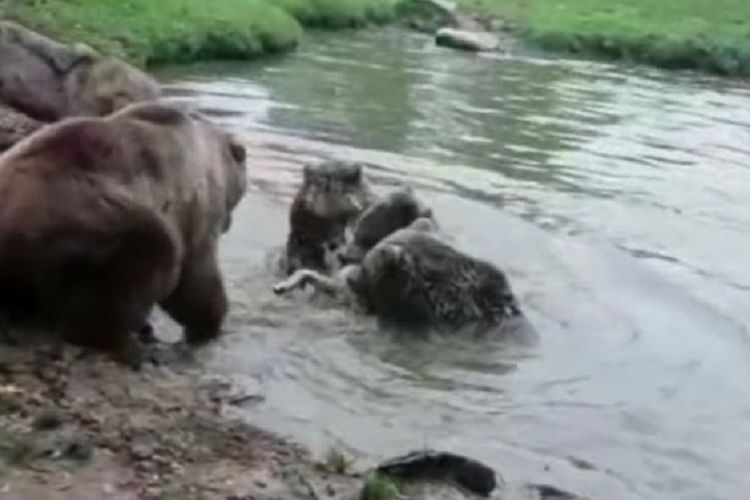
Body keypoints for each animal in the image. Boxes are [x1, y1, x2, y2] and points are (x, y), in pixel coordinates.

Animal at [0, 101, 250, 368]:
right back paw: (131, 345)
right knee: (142, 262)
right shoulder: (196, 208)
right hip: (86, 226)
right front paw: (209, 326)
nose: (230, 223)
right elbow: (196, 280)